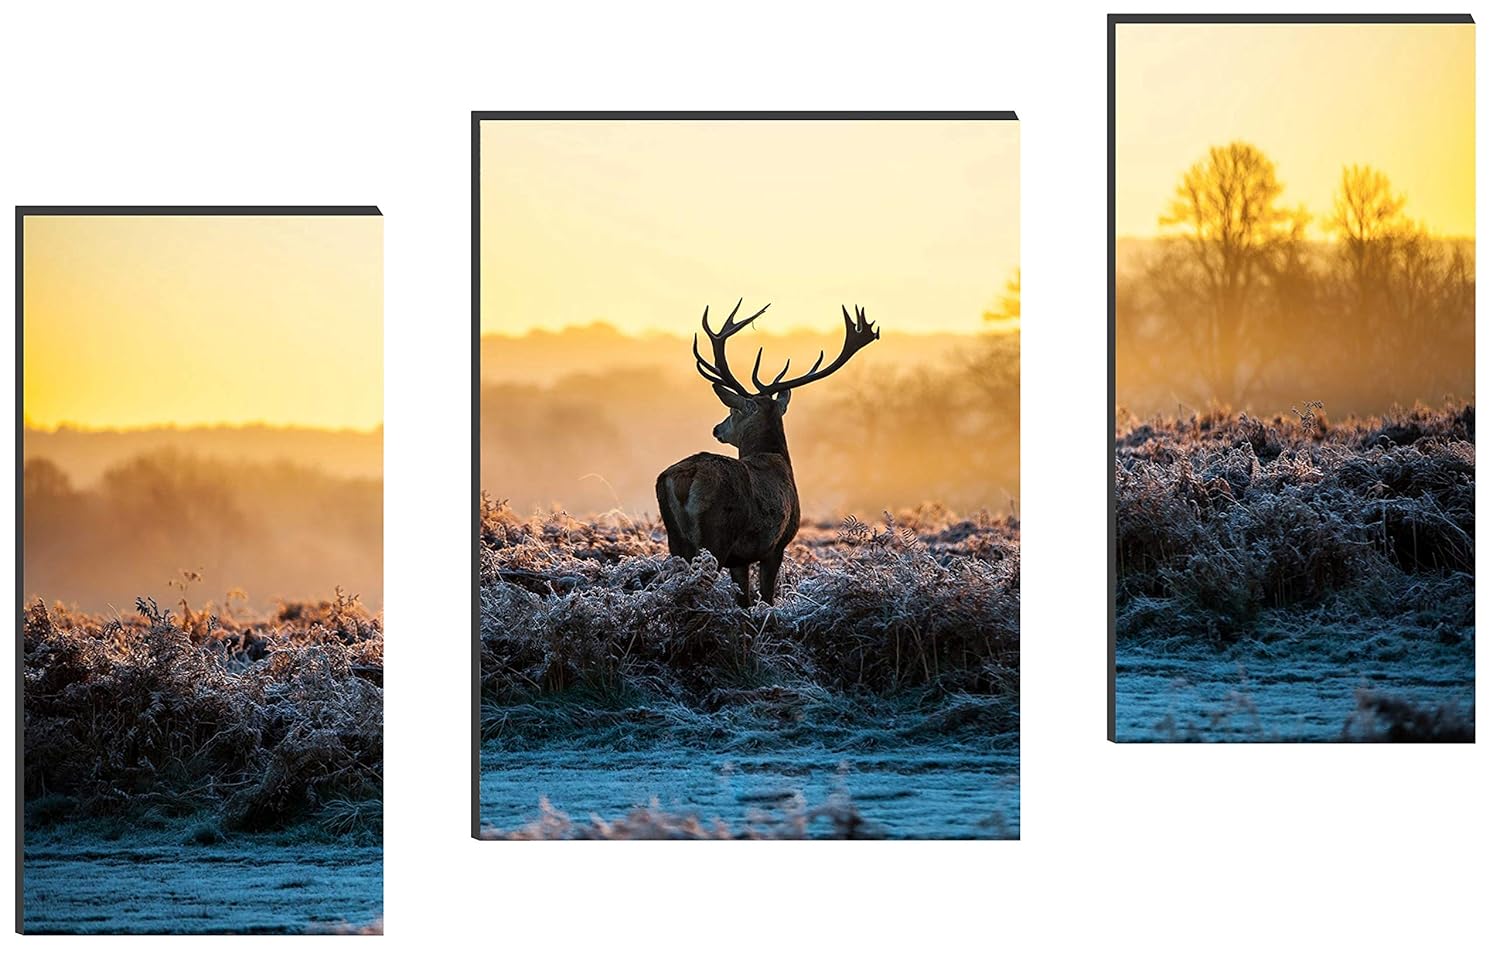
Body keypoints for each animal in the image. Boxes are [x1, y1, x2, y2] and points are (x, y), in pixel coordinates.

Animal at [655, 299, 879, 607]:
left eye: (732, 411)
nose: (717, 429)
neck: (775, 457)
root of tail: (685, 477)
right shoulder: (776, 545)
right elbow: (767, 597)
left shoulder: (741, 559)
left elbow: (745, 600)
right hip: (716, 536)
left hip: (675, 539)